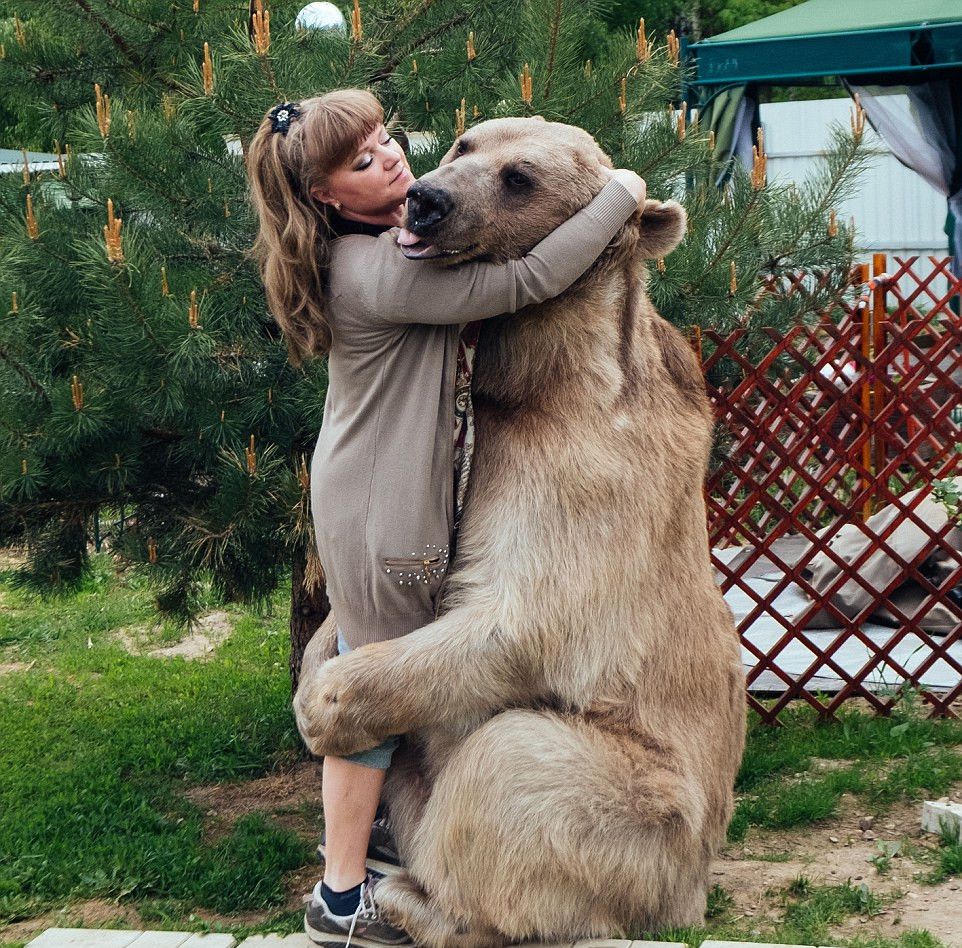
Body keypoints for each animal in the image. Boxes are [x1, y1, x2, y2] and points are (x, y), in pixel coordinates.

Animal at [296, 118, 748, 948]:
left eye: (520, 178)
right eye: (463, 145)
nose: (426, 200)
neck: (537, 380)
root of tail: (689, 894)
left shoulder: (587, 476)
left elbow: (523, 619)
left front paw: (324, 703)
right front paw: (317, 663)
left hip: (648, 815)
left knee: (511, 764)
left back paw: (409, 894)